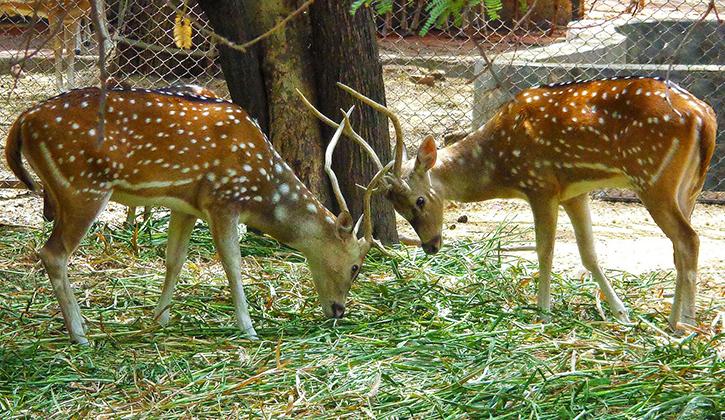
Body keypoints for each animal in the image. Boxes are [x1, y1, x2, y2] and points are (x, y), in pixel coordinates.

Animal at [5, 86, 391, 344]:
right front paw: (249, 328)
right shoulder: (223, 200)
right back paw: (80, 333)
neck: (262, 185)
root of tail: (22, 121)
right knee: (52, 253)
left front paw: (159, 318)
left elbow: (174, 258)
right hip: (83, 188)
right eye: (356, 267)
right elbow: (233, 264)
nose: (338, 310)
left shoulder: (185, 205)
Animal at [302, 77, 717, 330]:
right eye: (401, 210)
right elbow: (589, 254)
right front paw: (622, 313)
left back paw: (685, 324)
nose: (431, 246)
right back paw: (673, 320)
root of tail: (706, 117)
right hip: (688, 187)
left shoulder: (540, 184)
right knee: (681, 247)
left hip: (653, 179)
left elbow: (546, 251)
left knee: (689, 240)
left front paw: (543, 312)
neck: (500, 161)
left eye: (420, 199)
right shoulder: (574, 191)